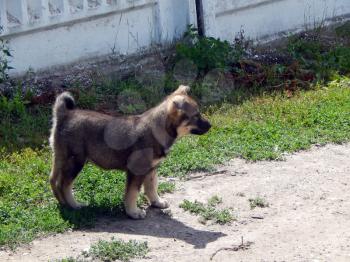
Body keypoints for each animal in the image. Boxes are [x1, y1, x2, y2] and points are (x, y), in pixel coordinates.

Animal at [49, 85, 211, 218]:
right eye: (196, 115)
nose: (210, 125)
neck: (158, 128)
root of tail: (65, 114)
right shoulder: (137, 170)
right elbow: (132, 193)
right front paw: (133, 212)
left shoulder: (151, 169)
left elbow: (152, 187)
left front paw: (156, 202)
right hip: (75, 161)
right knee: (64, 184)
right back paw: (74, 205)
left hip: (60, 158)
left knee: (53, 180)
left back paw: (63, 203)